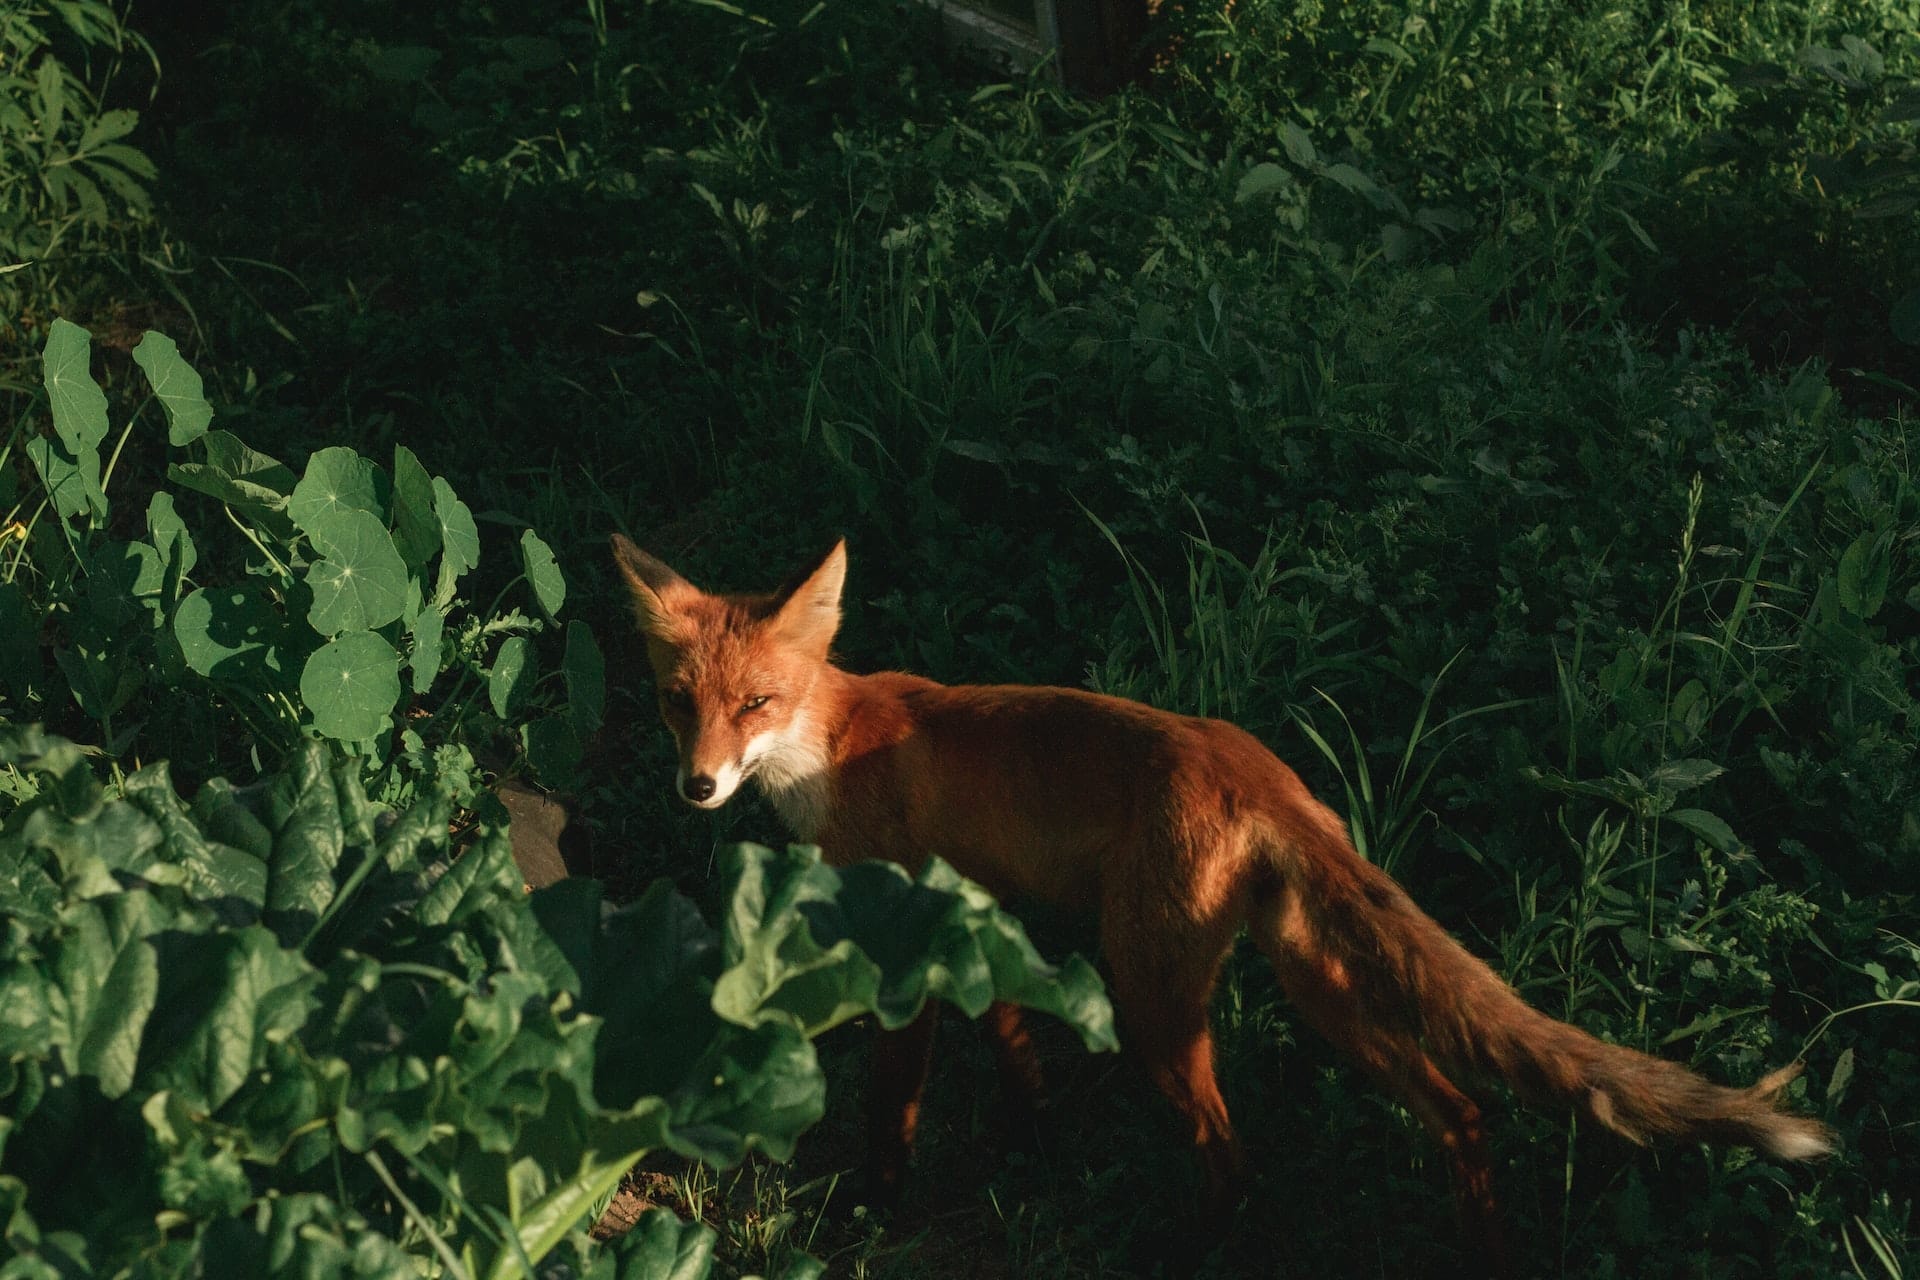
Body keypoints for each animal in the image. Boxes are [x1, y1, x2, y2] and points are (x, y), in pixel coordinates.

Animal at [610, 533, 1834, 1272]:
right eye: (678, 703)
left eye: (756, 703)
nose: (698, 787)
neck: (830, 750)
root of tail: (1251, 765)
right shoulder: (974, 920)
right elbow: (1014, 1043)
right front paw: (1038, 1132)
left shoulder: (903, 947)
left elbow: (891, 1105)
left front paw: (876, 1204)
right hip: (1319, 989)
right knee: (1462, 1108)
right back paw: (1483, 1251)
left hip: (1154, 1001)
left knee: (1236, 1154)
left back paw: (1191, 1243)